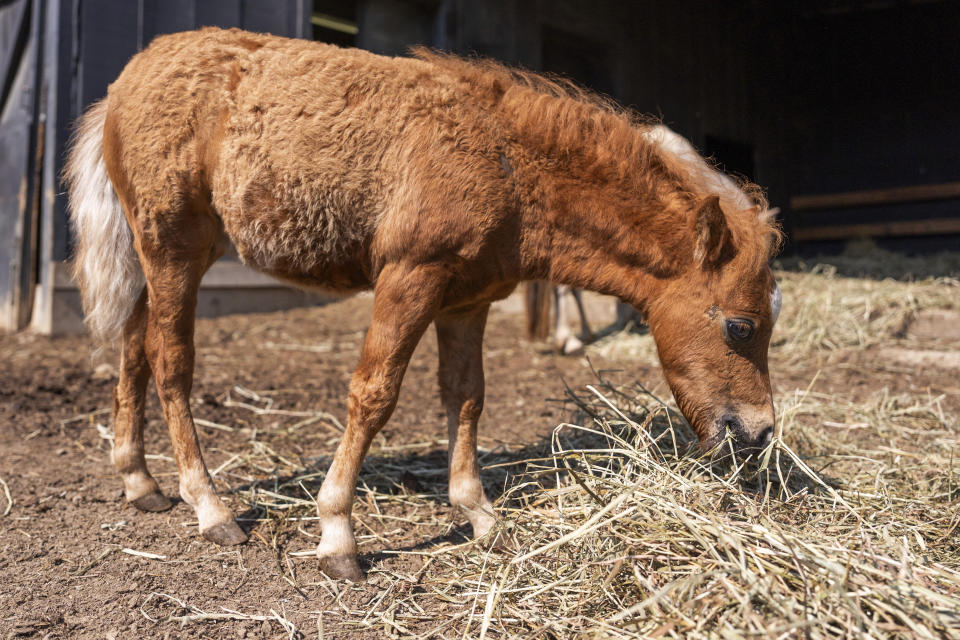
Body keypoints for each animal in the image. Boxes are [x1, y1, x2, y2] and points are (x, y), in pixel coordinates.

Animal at [65, 28, 780, 580]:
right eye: (740, 326)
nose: (759, 432)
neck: (506, 163)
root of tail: (124, 82)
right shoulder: (410, 276)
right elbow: (374, 393)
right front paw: (337, 535)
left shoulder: (466, 301)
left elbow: (465, 397)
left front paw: (480, 515)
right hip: (174, 247)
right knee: (169, 361)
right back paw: (210, 507)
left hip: (161, 254)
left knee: (133, 349)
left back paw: (141, 483)